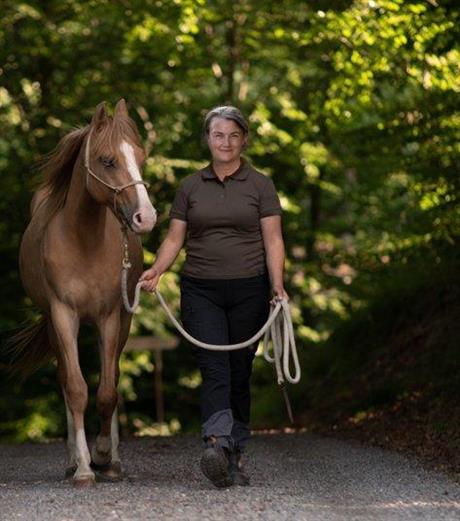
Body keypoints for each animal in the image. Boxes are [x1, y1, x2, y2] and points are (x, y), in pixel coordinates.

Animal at [11, 99, 156, 486]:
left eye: (140, 155)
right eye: (107, 160)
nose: (146, 217)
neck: (84, 241)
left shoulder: (109, 318)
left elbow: (108, 391)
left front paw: (104, 454)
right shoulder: (63, 316)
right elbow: (76, 388)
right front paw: (83, 467)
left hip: (122, 324)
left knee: (113, 377)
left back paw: (113, 459)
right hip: (54, 326)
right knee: (66, 380)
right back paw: (72, 459)